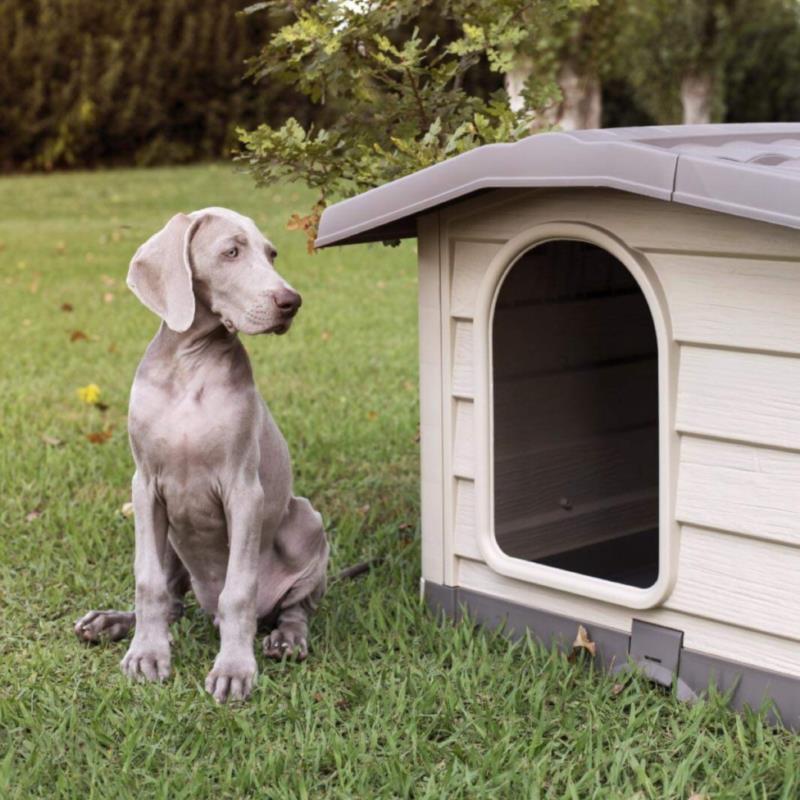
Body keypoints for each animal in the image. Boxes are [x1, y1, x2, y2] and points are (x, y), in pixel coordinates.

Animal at [72, 209, 328, 704]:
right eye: (231, 252)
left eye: (271, 254)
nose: (292, 302)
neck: (190, 365)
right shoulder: (145, 487)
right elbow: (148, 582)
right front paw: (146, 654)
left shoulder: (244, 491)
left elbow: (239, 592)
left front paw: (234, 668)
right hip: (172, 537)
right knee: (174, 601)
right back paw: (111, 622)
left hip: (307, 520)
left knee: (294, 606)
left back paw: (287, 638)